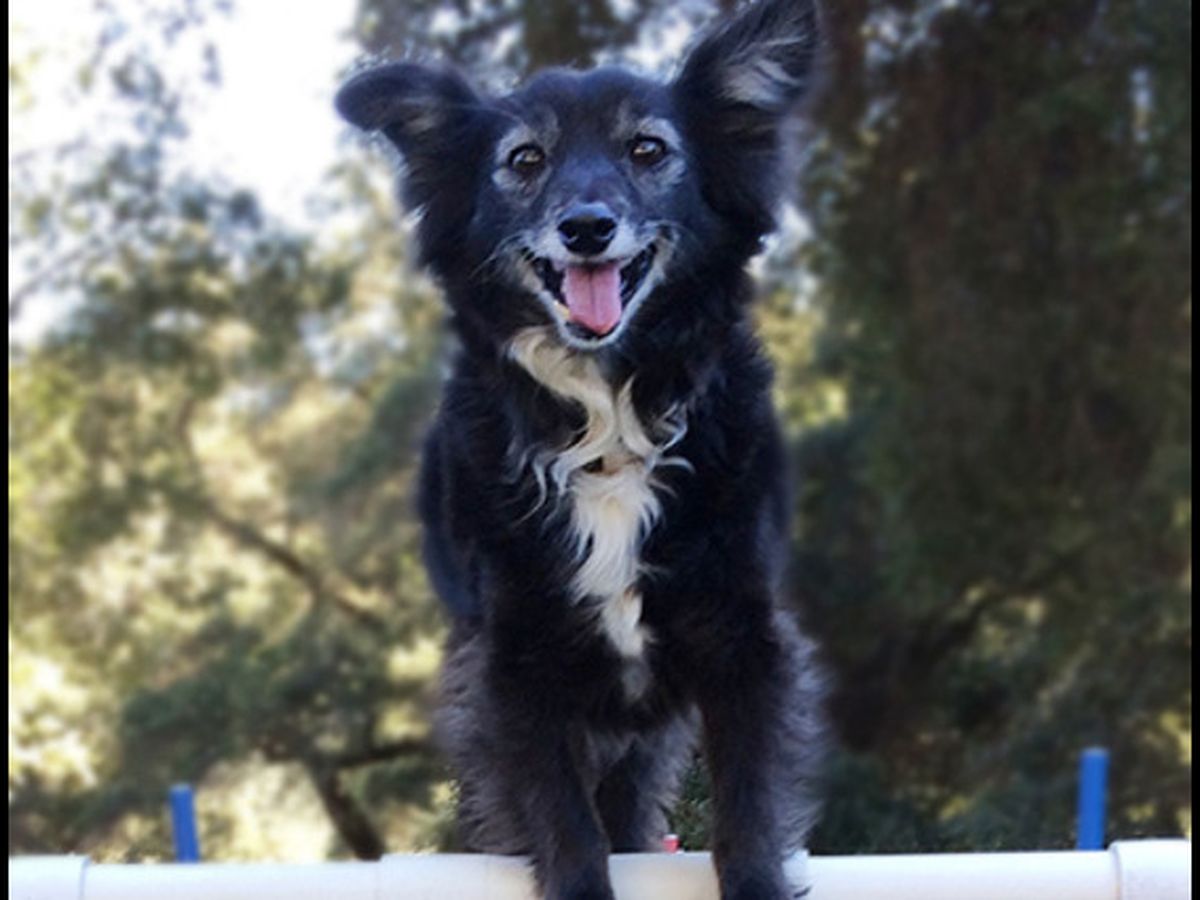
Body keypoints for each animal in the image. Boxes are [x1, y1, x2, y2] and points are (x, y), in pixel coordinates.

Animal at [336, 2, 827, 897]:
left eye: (648, 149)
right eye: (524, 159)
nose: (588, 228)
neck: (610, 421)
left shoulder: (744, 639)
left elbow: (748, 811)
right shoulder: (512, 672)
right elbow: (566, 827)